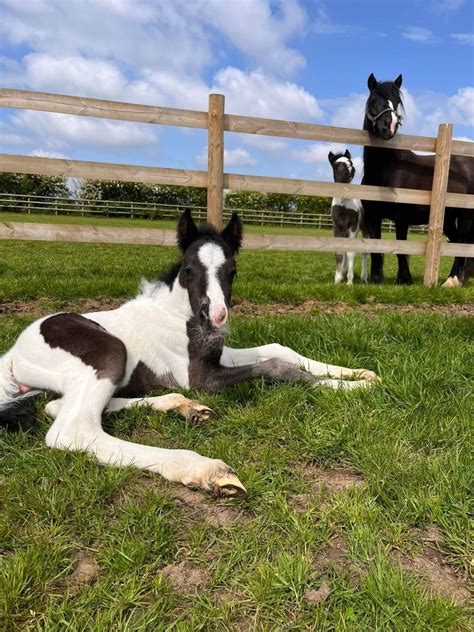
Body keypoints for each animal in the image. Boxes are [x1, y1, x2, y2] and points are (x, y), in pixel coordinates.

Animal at [0, 212, 378, 498]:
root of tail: (12, 355)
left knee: (55, 406)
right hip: (110, 351)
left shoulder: (216, 355)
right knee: (74, 430)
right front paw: (350, 387)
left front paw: (360, 374)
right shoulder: (201, 377)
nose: (216, 318)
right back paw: (205, 468)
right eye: (188, 269)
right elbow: (274, 366)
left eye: (232, 271)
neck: (180, 315)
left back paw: (183, 407)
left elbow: (277, 349)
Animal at [328, 151, 368, 284]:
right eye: (336, 164)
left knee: (365, 251)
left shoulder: (353, 226)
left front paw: (350, 281)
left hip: (365, 229)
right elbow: (340, 251)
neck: (344, 204)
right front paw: (337, 278)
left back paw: (364, 277)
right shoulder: (337, 227)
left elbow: (351, 252)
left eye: (350, 162)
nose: (350, 169)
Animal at [362, 72, 472, 286]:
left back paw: (452, 280)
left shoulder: (401, 218)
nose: (389, 126)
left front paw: (404, 279)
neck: (385, 170)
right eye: (372, 101)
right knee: (458, 242)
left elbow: (400, 249)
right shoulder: (373, 217)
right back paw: (460, 279)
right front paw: (377, 279)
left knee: (463, 241)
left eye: (396, 103)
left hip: (465, 215)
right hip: (448, 219)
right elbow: (375, 249)